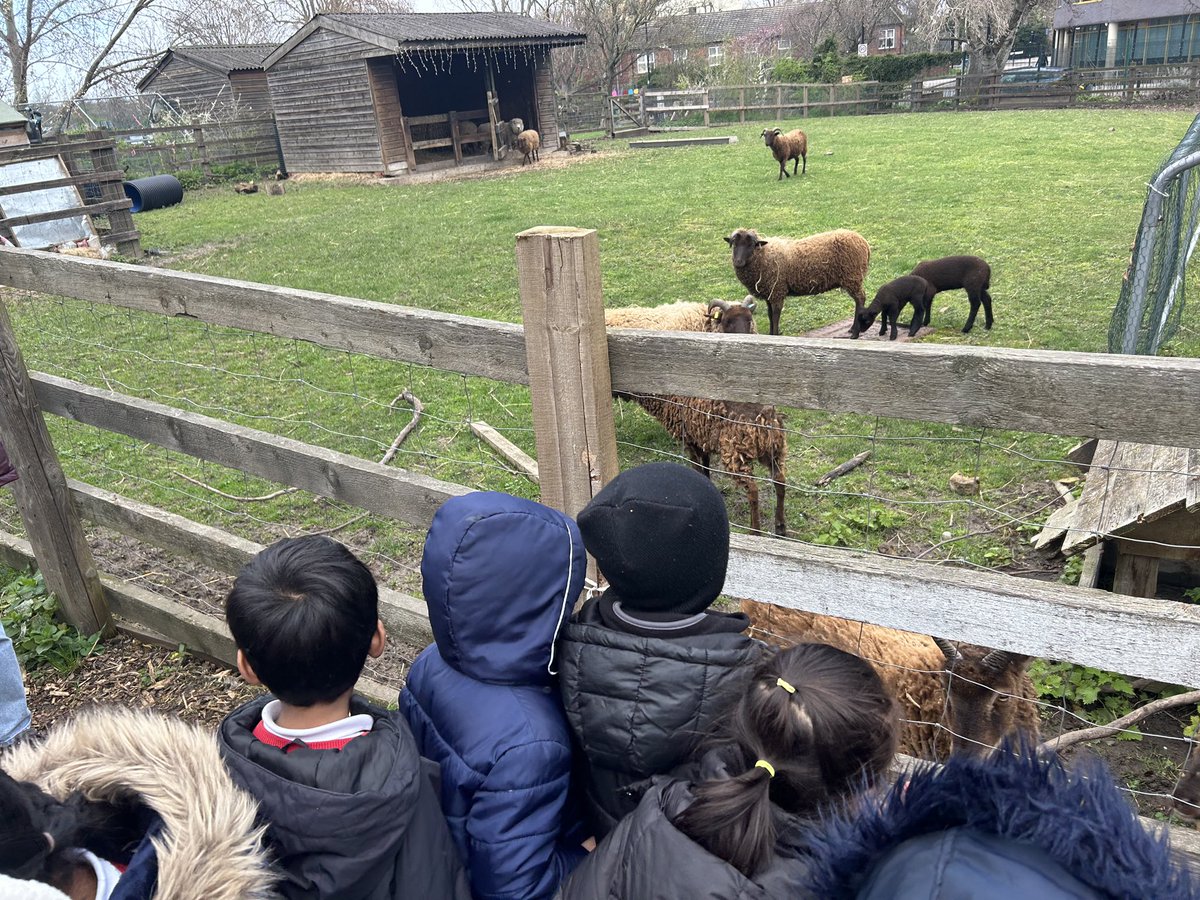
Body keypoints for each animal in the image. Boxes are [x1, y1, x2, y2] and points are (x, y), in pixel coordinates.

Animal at [600, 300, 787, 535]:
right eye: (727, 322)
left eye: (749, 321)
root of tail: (764, 420)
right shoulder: (700, 435)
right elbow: (704, 468)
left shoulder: (689, 435)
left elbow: (699, 468)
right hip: (774, 451)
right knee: (780, 481)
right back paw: (780, 527)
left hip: (737, 453)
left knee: (754, 490)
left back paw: (756, 531)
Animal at [720, 226, 873, 336]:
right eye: (734, 244)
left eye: (751, 245)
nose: (738, 262)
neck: (764, 255)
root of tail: (864, 243)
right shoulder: (769, 293)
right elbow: (770, 315)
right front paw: (770, 333)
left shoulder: (777, 291)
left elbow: (775, 315)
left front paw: (775, 334)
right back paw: (852, 329)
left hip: (852, 277)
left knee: (860, 299)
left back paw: (855, 330)